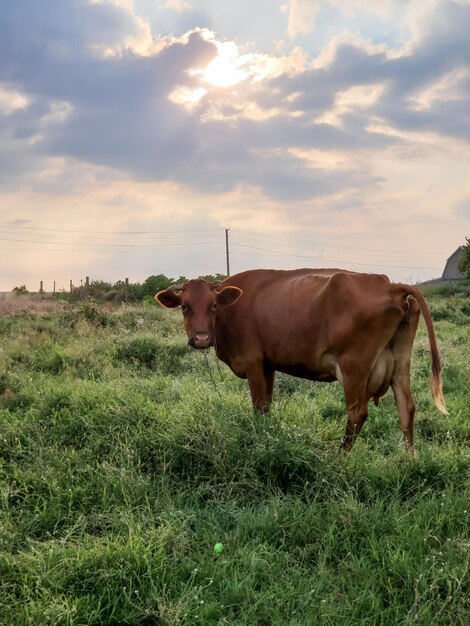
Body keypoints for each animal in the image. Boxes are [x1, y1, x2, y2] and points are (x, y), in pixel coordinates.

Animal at [156, 266, 446, 448]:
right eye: (185, 307)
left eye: (213, 306)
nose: (201, 338)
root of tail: (389, 285)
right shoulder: (268, 364)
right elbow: (267, 406)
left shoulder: (252, 362)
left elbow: (259, 406)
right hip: (400, 362)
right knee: (406, 408)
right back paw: (410, 460)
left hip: (354, 365)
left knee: (357, 413)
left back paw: (338, 459)